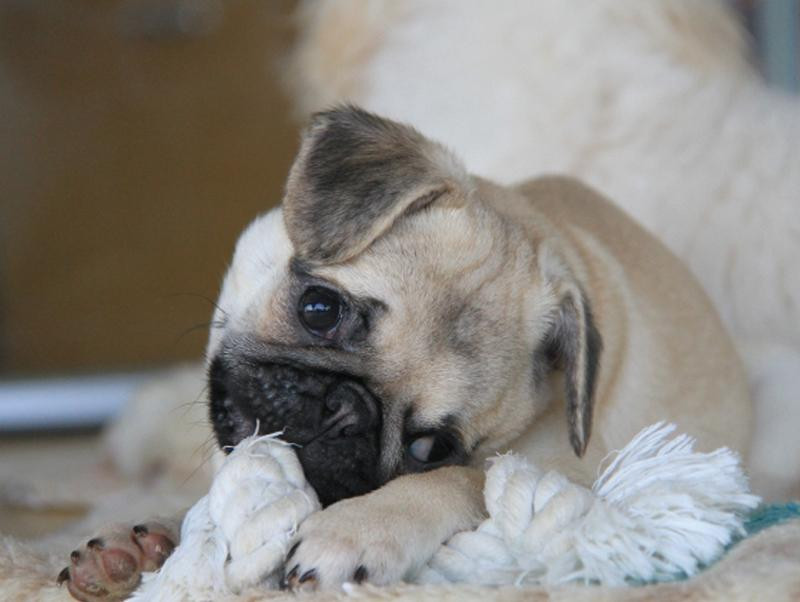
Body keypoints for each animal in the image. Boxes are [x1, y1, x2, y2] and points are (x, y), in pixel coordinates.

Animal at [59, 105, 752, 596]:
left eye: (428, 449)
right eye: (319, 310)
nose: (344, 410)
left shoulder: (570, 471)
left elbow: (465, 480)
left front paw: (358, 527)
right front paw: (142, 540)